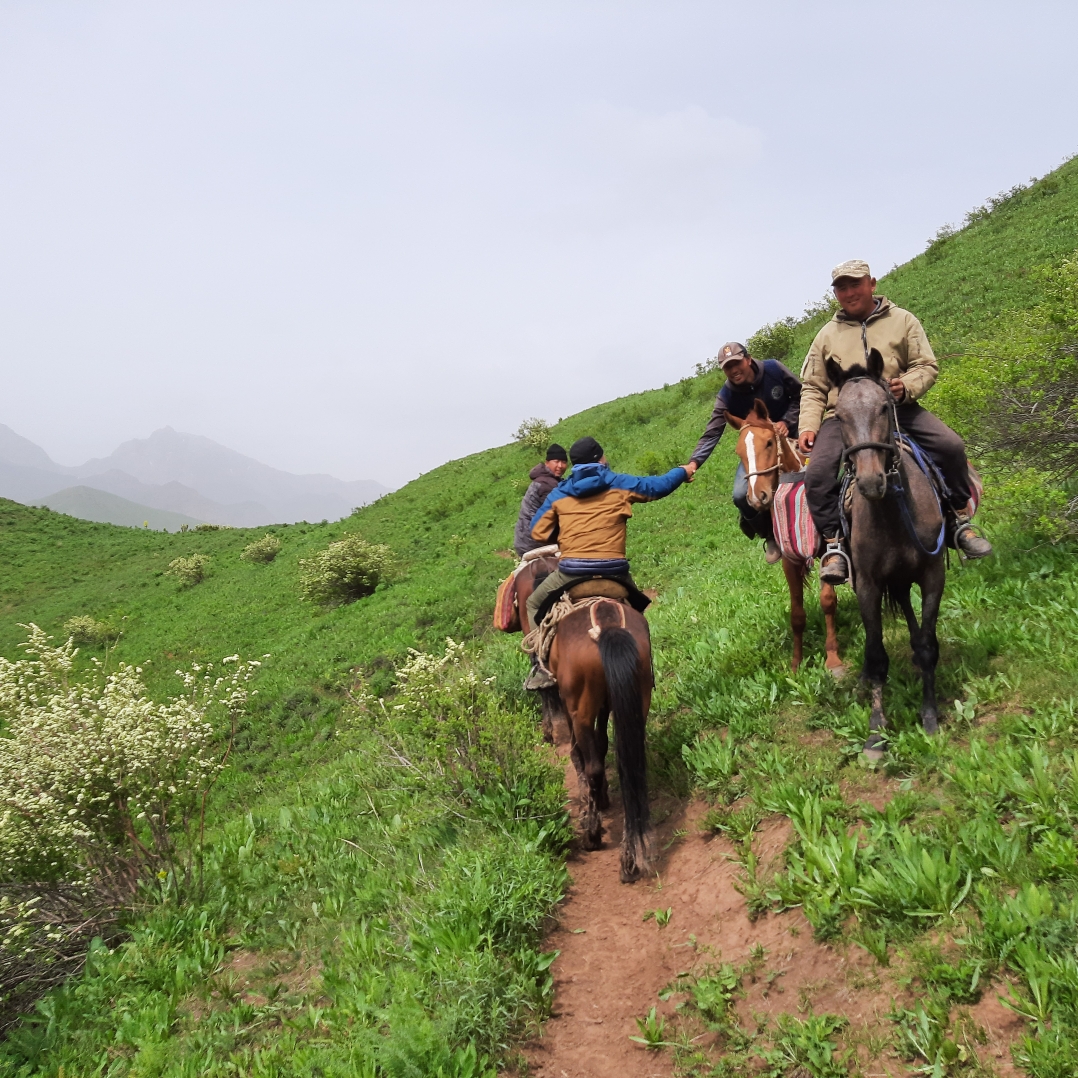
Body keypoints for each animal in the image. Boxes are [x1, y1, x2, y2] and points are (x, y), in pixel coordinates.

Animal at [551, 590, 651, 883]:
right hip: (638, 698)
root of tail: (608, 625)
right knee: (631, 767)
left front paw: (590, 805)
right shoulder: (608, 702)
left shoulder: (569, 705)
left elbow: (579, 753)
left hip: (581, 708)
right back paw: (629, 859)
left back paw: (592, 835)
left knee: (593, 767)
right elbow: (602, 742)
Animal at [720, 401, 845, 676]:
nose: (757, 497)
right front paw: (796, 664)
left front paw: (833, 659)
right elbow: (797, 614)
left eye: (768, 442)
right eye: (738, 452)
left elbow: (828, 601)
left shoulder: (825, 553)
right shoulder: (790, 560)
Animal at [823, 347, 944, 758]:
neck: (891, 511)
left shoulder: (933, 575)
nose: (871, 481)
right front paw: (876, 731)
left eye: (883, 406)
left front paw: (930, 715)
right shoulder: (869, 585)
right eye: (839, 416)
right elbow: (876, 655)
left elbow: (927, 644)